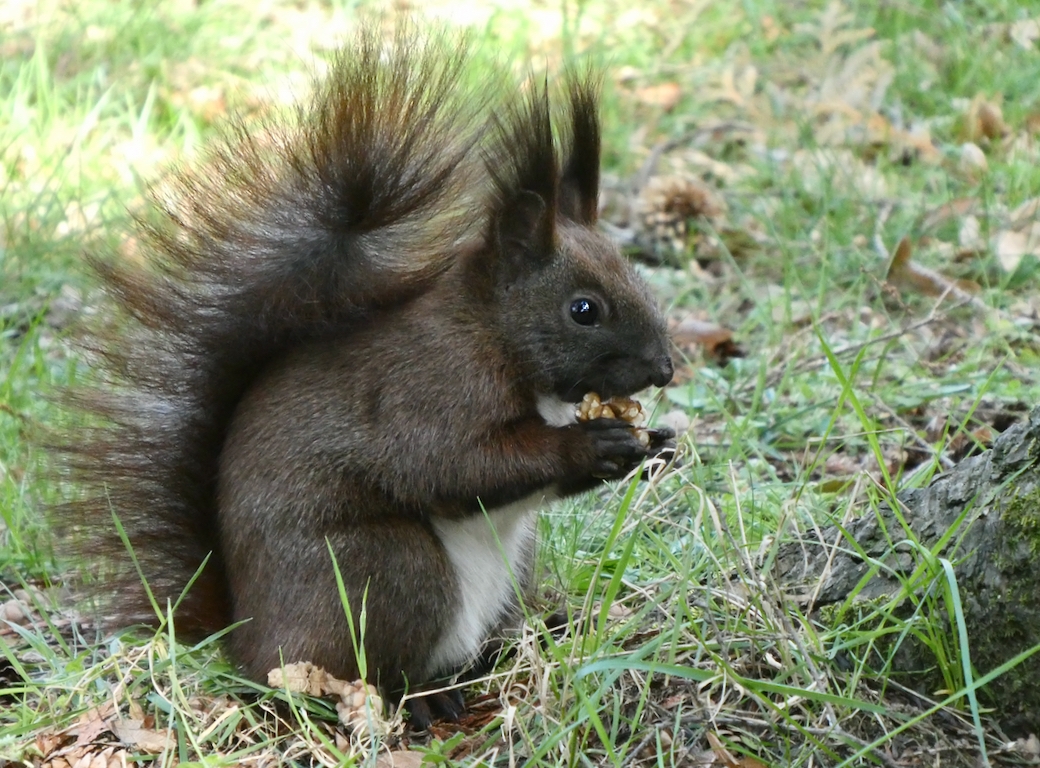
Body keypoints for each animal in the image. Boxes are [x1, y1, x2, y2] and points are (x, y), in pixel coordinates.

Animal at [54, 29, 673, 720]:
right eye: (584, 309)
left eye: (635, 271)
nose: (666, 368)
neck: (495, 336)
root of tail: (245, 641)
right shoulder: (429, 391)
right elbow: (452, 467)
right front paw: (590, 444)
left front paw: (657, 446)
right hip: (386, 570)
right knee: (376, 666)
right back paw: (424, 700)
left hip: (508, 569)